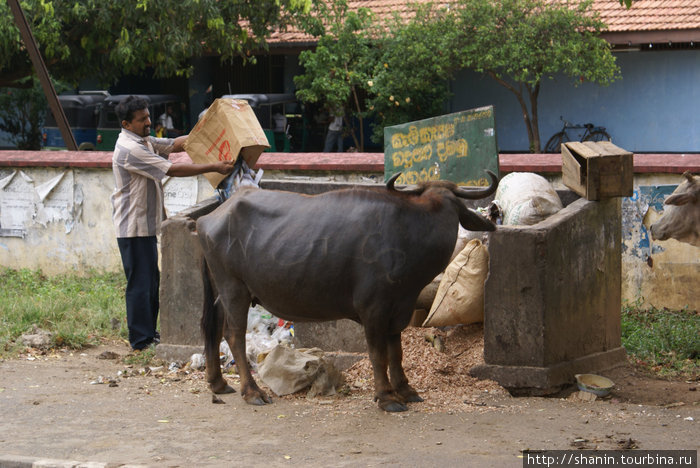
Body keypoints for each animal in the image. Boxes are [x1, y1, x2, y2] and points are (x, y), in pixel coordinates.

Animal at [198, 171, 498, 410]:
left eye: (453, 207)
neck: (406, 237)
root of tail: (208, 218)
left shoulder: (399, 308)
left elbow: (396, 351)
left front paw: (405, 389)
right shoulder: (374, 310)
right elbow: (378, 354)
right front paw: (386, 396)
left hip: (221, 292)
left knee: (213, 327)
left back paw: (218, 383)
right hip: (234, 289)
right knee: (234, 336)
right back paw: (252, 392)